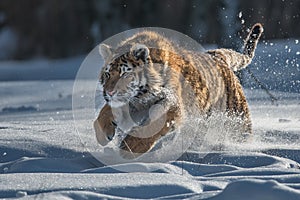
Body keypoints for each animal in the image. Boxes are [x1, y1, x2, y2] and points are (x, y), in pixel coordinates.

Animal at [93, 22, 262, 159]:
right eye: (107, 74)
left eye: (125, 74)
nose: (109, 93)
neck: (142, 95)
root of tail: (217, 55)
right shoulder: (132, 102)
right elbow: (106, 111)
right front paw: (102, 133)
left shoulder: (173, 104)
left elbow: (154, 123)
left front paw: (130, 147)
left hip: (238, 120)